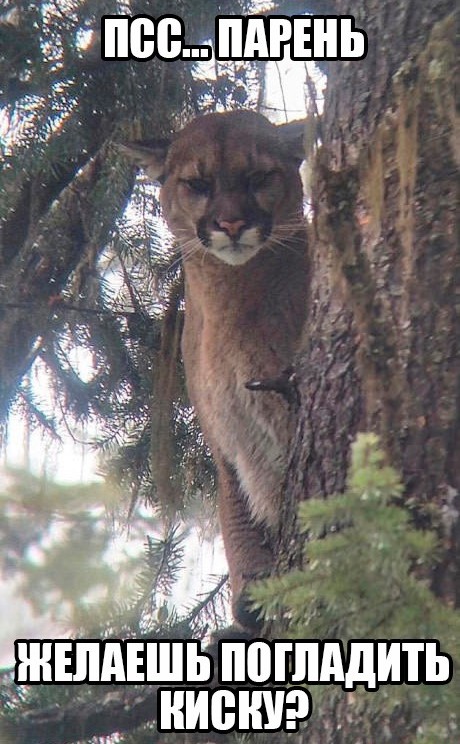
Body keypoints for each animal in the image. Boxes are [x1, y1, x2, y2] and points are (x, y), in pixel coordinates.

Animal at [122, 110, 310, 628]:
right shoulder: (228, 439)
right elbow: (238, 516)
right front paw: (253, 592)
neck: (228, 295)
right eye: (198, 183)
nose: (231, 223)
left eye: (259, 177)